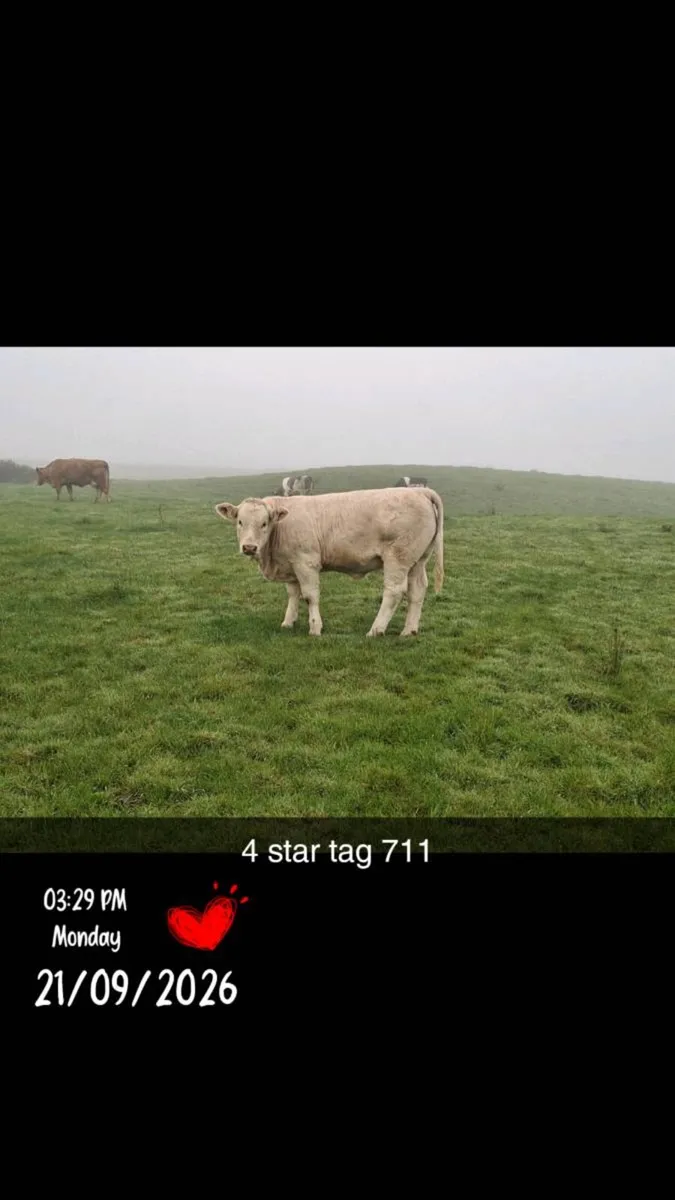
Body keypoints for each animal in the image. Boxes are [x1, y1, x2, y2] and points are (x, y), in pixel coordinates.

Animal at [215, 487, 444, 637]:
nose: (249, 547)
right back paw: (409, 630)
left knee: (394, 591)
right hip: (417, 561)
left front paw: (315, 627)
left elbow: (310, 596)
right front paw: (288, 622)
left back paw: (376, 630)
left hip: (398, 558)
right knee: (417, 590)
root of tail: (420, 491)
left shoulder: (306, 562)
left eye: (264, 523)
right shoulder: (290, 564)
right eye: (240, 522)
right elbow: (293, 595)